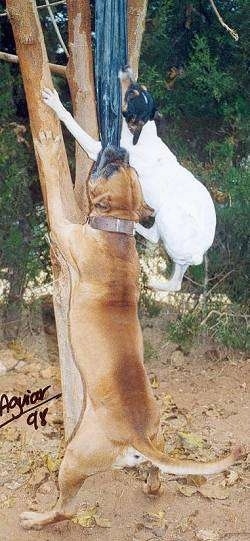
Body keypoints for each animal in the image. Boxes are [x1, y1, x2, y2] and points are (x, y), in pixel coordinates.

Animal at [20, 133, 243, 528]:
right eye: (127, 169)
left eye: (109, 168)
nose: (118, 150)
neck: (118, 227)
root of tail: (137, 437)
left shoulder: (65, 230)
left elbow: (57, 209)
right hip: (159, 438)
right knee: (158, 472)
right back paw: (151, 486)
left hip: (74, 456)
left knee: (65, 509)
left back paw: (36, 518)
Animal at [42, 83, 216, 292]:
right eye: (139, 89)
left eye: (132, 96)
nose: (131, 83)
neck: (141, 134)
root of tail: (199, 252)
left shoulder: (96, 148)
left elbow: (72, 123)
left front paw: (56, 104)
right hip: (176, 247)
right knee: (174, 278)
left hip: (168, 214)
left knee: (155, 239)